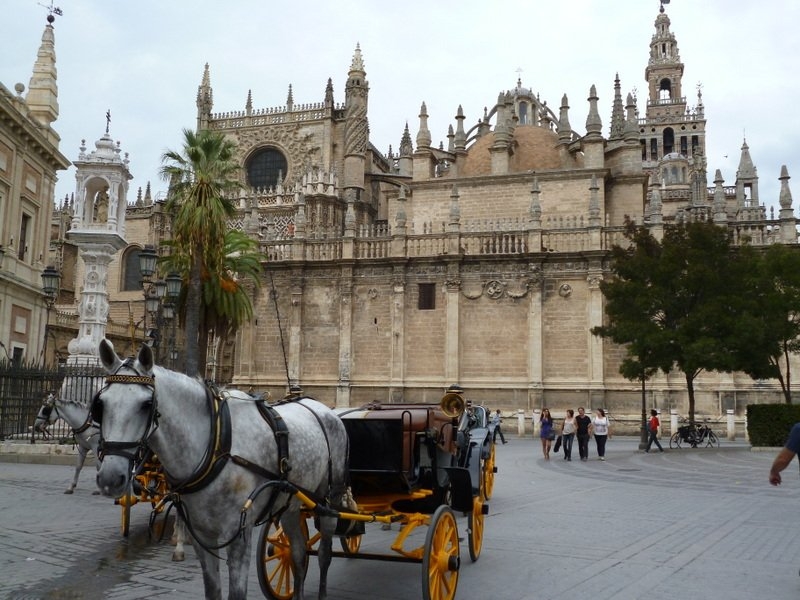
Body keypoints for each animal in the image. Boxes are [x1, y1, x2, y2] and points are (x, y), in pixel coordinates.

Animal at [94, 338, 350, 600]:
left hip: (329, 500)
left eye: (146, 404)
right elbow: (212, 589)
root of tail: (323, 408)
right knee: (298, 552)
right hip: (291, 503)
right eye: (100, 404)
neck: (217, 443)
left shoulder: (238, 535)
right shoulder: (201, 534)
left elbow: (236, 593)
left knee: (324, 554)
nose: (110, 478)